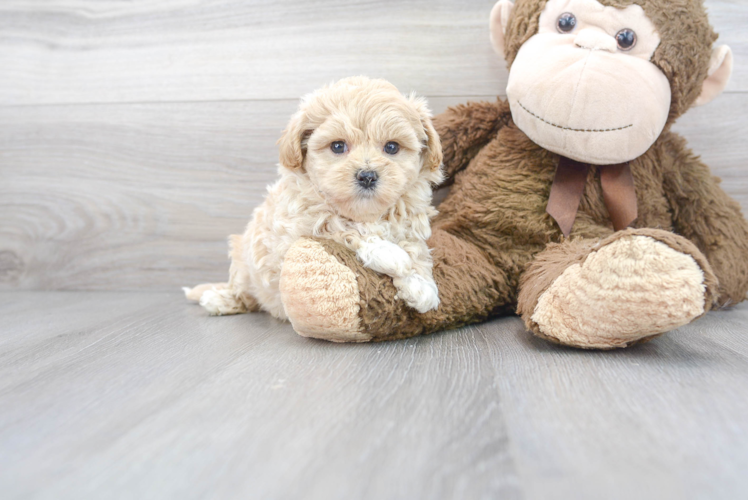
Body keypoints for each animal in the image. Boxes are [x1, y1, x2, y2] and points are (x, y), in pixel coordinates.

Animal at [185, 77, 444, 320]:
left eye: (391, 147)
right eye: (338, 146)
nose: (367, 176)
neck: (365, 213)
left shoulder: (411, 221)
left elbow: (415, 246)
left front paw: (420, 284)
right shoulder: (299, 227)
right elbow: (340, 227)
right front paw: (388, 253)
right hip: (243, 261)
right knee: (243, 294)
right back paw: (219, 299)